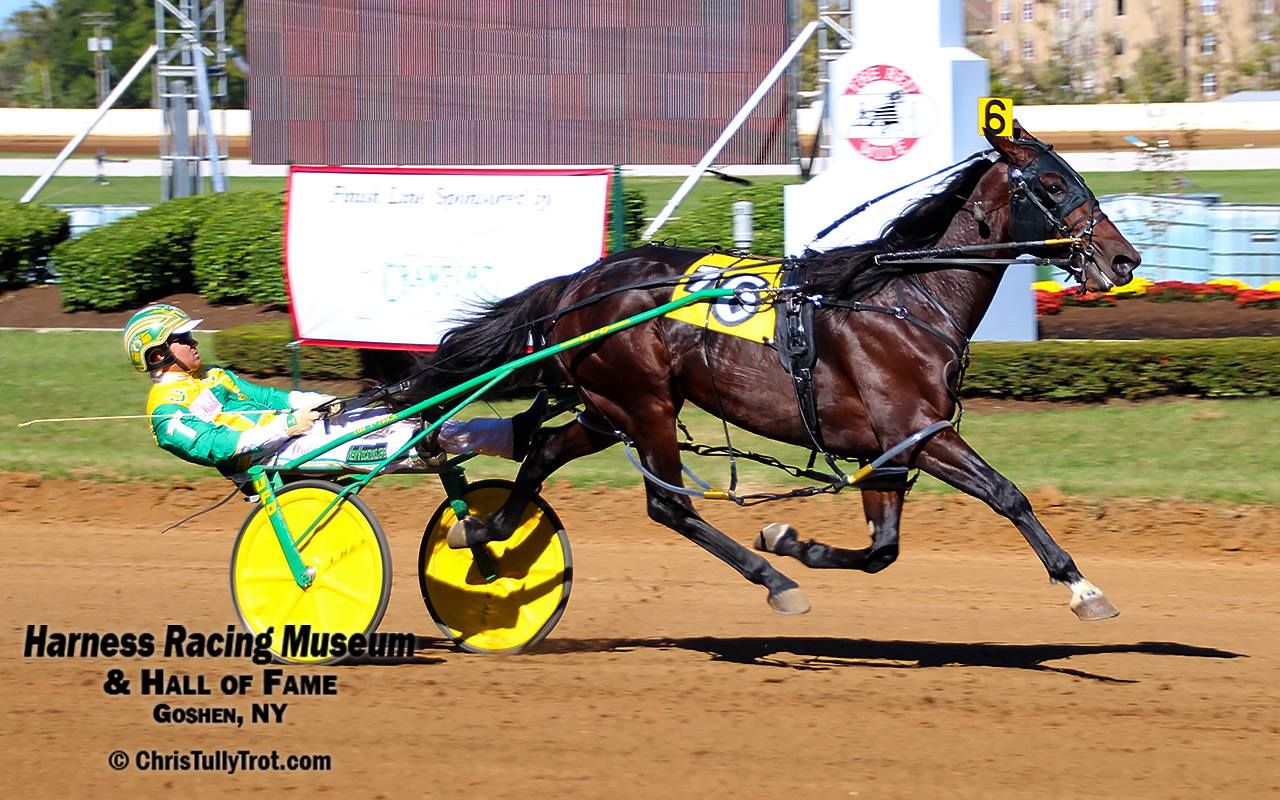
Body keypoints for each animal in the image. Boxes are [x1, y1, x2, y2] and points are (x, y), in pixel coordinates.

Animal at [396, 124, 1141, 621]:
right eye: (1053, 183)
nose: (1123, 258)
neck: (903, 298)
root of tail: (581, 282)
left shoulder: (887, 448)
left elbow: (883, 548)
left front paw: (791, 539)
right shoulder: (922, 430)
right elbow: (1007, 494)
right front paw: (1083, 587)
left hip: (609, 408)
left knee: (543, 450)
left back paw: (483, 535)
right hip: (644, 407)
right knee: (667, 504)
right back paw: (772, 582)